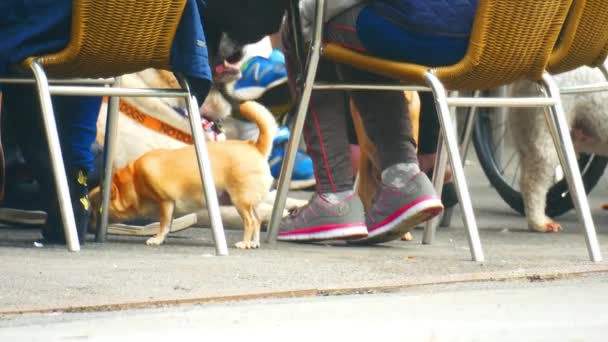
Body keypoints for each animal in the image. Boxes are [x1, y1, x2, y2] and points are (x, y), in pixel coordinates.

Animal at [89, 101, 276, 248]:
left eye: (96, 210)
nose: (89, 224)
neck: (134, 180)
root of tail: (254, 146)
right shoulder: (169, 206)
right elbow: (168, 224)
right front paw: (162, 238)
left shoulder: (165, 202)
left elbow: (164, 223)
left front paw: (157, 239)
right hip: (250, 202)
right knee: (258, 220)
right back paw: (253, 243)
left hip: (240, 201)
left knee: (251, 221)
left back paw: (244, 243)